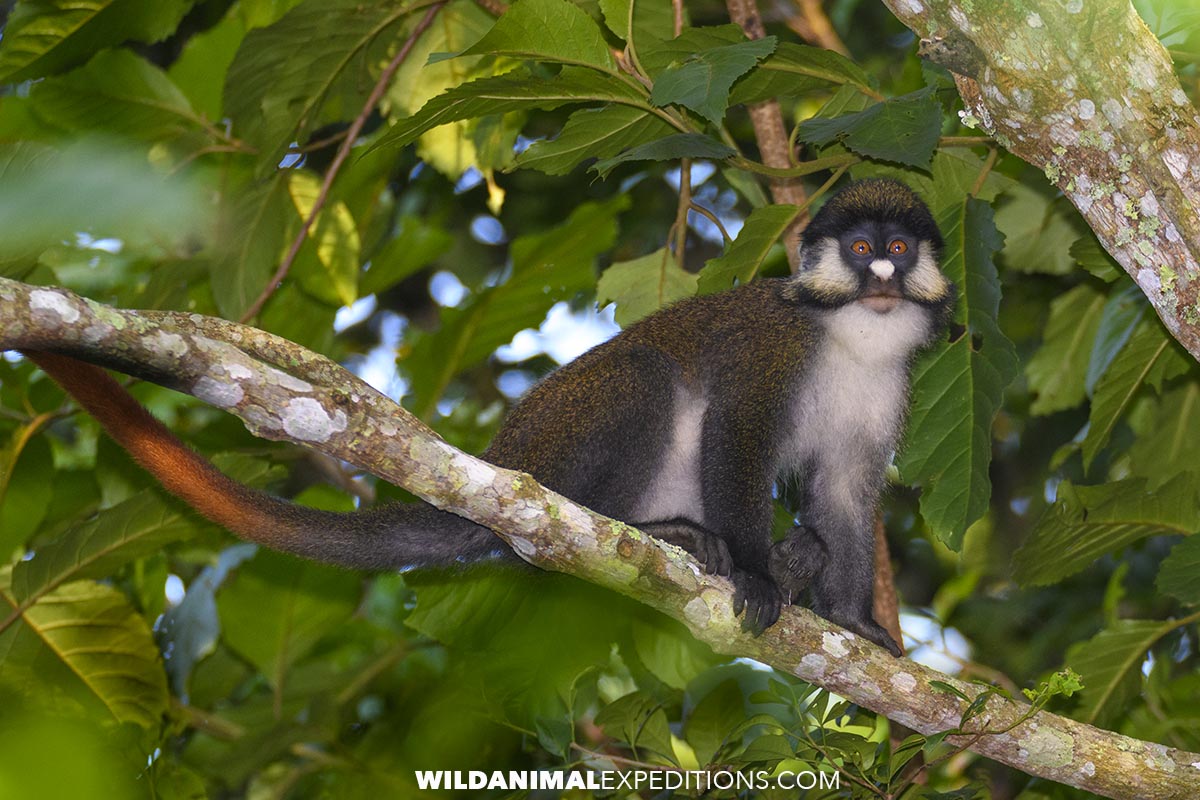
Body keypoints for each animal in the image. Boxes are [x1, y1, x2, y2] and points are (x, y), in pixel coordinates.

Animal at [21, 179, 954, 656]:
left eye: (897, 250)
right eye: (861, 249)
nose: (880, 275)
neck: (852, 334)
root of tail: (506, 466)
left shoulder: (888, 391)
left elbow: (843, 493)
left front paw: (853, 621)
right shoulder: (776, 349)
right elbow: (737, 432)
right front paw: (759, 577)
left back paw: (786, 561)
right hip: (555, 447)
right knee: (646, 380)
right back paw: (659, 535)